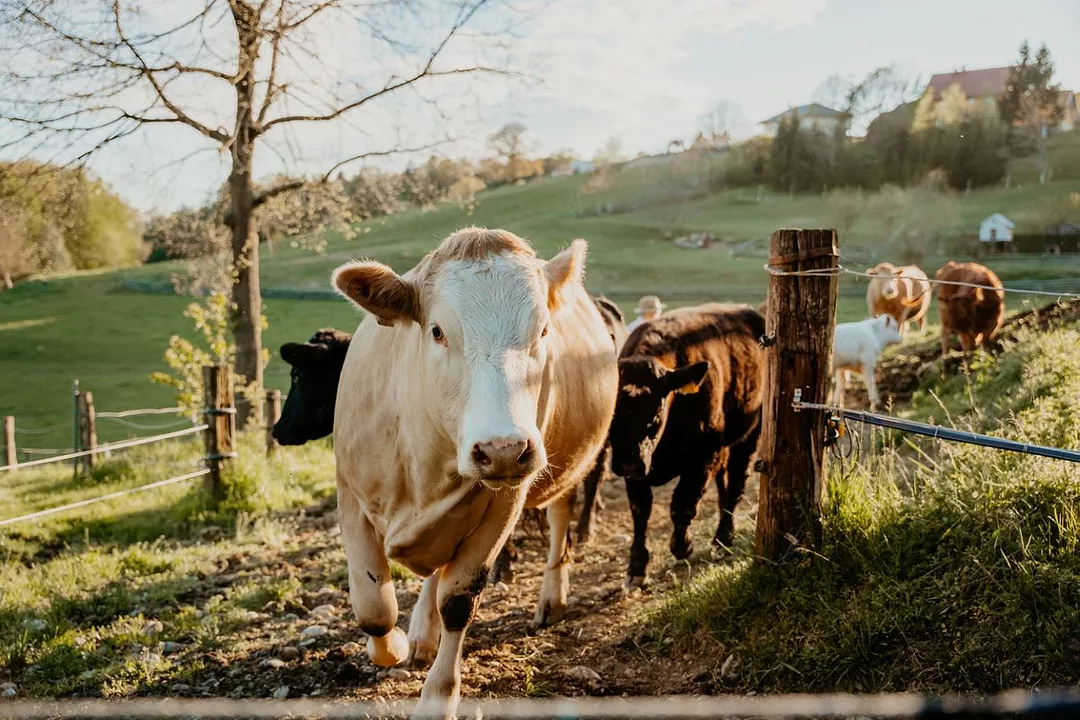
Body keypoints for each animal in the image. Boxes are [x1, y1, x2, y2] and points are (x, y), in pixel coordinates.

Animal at [331, 227, 618, 719]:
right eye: (437, 331)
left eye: (543, 330)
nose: (503, 449)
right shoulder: (350, 495)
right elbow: (373, 608)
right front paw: (393, 647)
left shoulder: (503, 504)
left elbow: (458, 600)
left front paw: (437, 697)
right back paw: (420, 634)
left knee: (560, 519)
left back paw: (551, 596)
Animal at [608, 303, 765, 590]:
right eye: (612, 416)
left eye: (655, 416)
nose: (628, 463)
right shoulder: (636, 472)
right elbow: (640, 512)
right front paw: (636, 566)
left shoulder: (703, 457)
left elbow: (683, 503)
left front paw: (683, 545)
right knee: (725, 487)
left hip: (749, 437)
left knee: (736, 485)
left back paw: (723, 538)